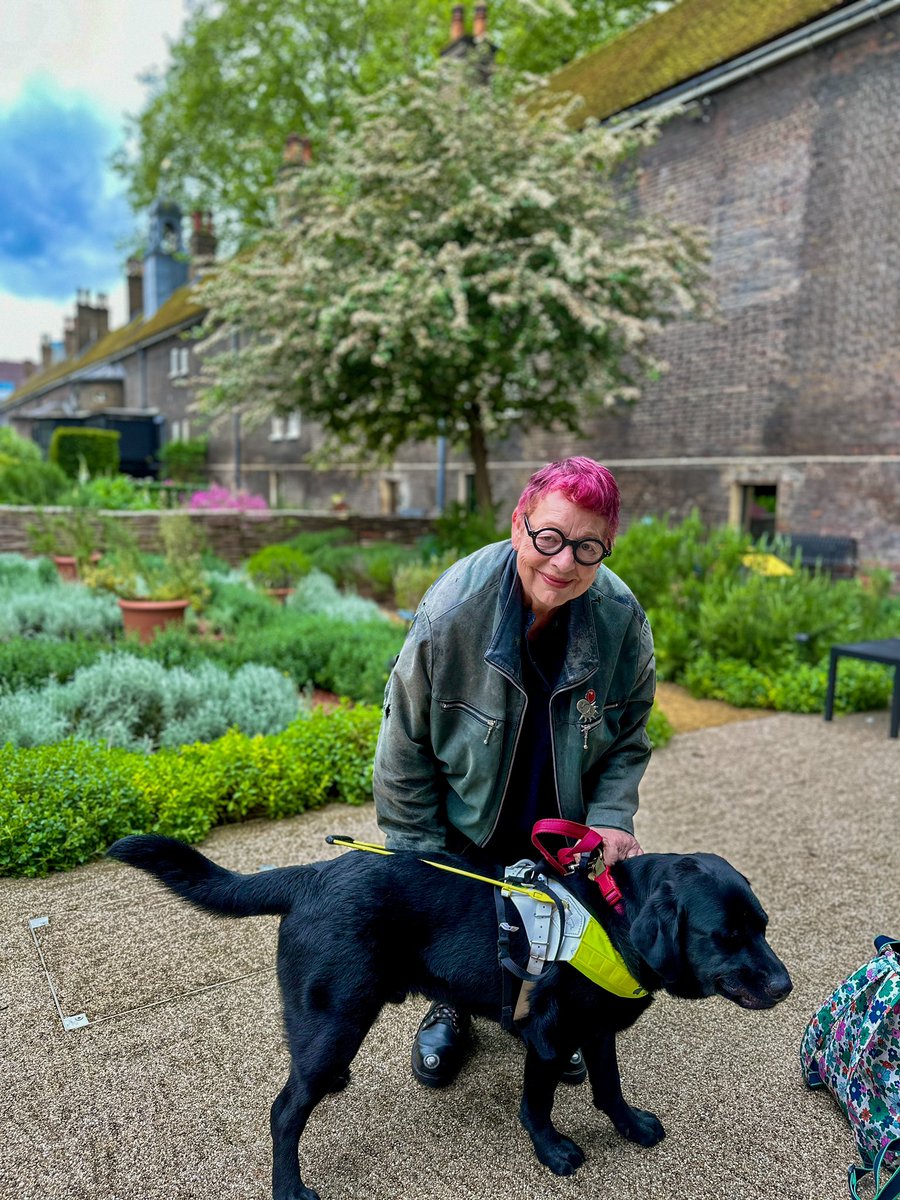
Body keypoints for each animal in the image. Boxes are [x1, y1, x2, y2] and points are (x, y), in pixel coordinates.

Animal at [107, 835, 796, 1200]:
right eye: (726, 935)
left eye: (762, 926)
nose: (788, 985)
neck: (615, 920)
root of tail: (310, 877)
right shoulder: (546, 1036)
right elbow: (537, 1103)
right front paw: (552, 1150)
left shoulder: (597, 1032)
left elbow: (609, 1087)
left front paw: (629, 1126)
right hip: (335, 1024)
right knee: (284, 1111)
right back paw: (289, 1188)